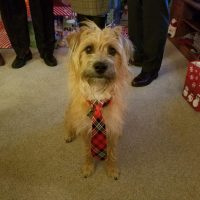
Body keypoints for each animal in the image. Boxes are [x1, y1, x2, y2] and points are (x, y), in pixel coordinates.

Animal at [64, 20, 133, 180]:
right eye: (88, 48)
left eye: (112, 51)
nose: (100, 66)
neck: (98, 95)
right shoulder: (85, 129)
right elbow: (88, 150)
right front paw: (88, 166)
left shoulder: (111, 129)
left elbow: (112, 151)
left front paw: (112, 168)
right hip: (71, 111)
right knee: (69, 121)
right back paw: (69, 133)